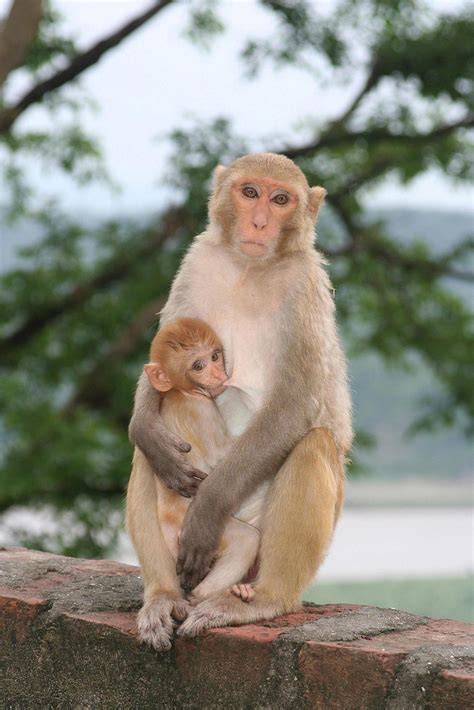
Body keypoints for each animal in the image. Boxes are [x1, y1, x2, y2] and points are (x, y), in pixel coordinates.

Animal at [143, 320, 258, 604]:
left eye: (215, 356)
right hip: (187, 531)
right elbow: (219, 457)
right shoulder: (202, 410)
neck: (183, 391)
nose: (217, 373)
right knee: (246, 539)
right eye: (198, 365)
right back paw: (207, 594)